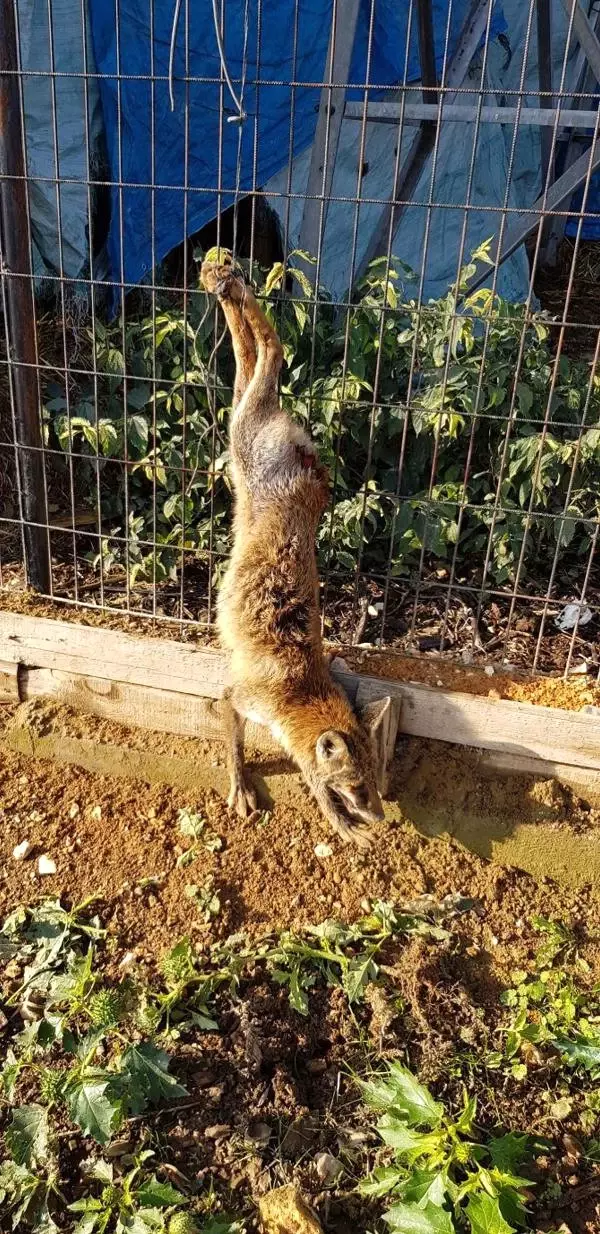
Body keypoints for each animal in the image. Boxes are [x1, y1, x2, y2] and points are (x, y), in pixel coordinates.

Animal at [200, 255, 390, 844]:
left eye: (377, 781)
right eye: (358, 786)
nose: (381, 817)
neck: (298, 687)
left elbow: (308, 776)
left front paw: (339, 822)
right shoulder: (235, 700)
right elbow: (239, 750)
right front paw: (242, 786)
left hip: (238, 432)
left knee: (249, 355)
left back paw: (229, 289)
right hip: (243, 428)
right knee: (274, 349)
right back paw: (232, 286)